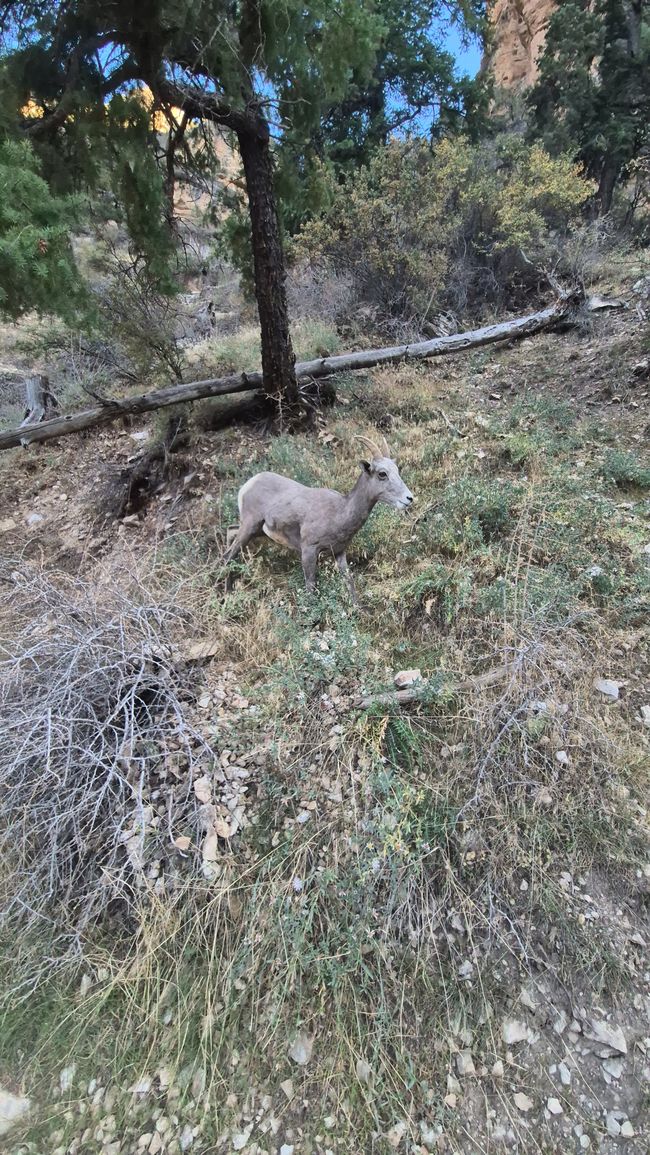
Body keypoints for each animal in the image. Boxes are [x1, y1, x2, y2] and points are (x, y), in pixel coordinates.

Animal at [226, 434, 415, 605]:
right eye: (382, 474)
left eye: (397, 471)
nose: (409, 498)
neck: (339, 513)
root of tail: (248, 484)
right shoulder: (309, 551)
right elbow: (311, 587)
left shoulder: (339, 553)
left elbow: (350, 583)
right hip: (250, 526)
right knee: (229, 555)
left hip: (257, 530)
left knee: (230, 533)